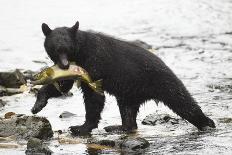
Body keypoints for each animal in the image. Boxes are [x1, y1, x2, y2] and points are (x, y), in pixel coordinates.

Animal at [30, 21, 216, 135]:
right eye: (55, 49)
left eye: (67, 49)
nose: (64, 65)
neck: (81, 52)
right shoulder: (77, 68)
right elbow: (63, 85)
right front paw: (38, 105)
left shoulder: (94, 63)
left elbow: (94, 96)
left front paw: (81, 127)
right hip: (129, 93)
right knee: (128, 111)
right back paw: (118, 127)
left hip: (163, 81)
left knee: (184, 102)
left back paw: (207, 123)